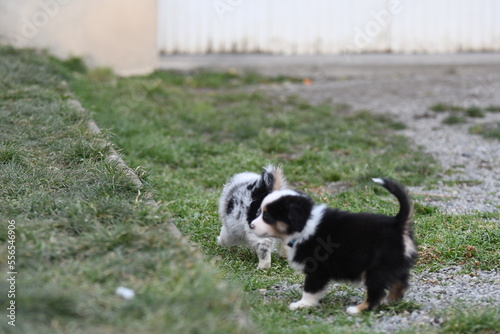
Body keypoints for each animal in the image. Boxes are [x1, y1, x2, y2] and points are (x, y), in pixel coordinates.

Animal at [250, 179, 418, 312]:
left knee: (376, 292)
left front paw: (302, 305)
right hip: (395, 265)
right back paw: (388, 302)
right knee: (400, 284)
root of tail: (398, 224)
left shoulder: (317, 269)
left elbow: (310, 289)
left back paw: (358, 309)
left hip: (376, 269)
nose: (251, 225)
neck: (305, 223)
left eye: (267, 216)